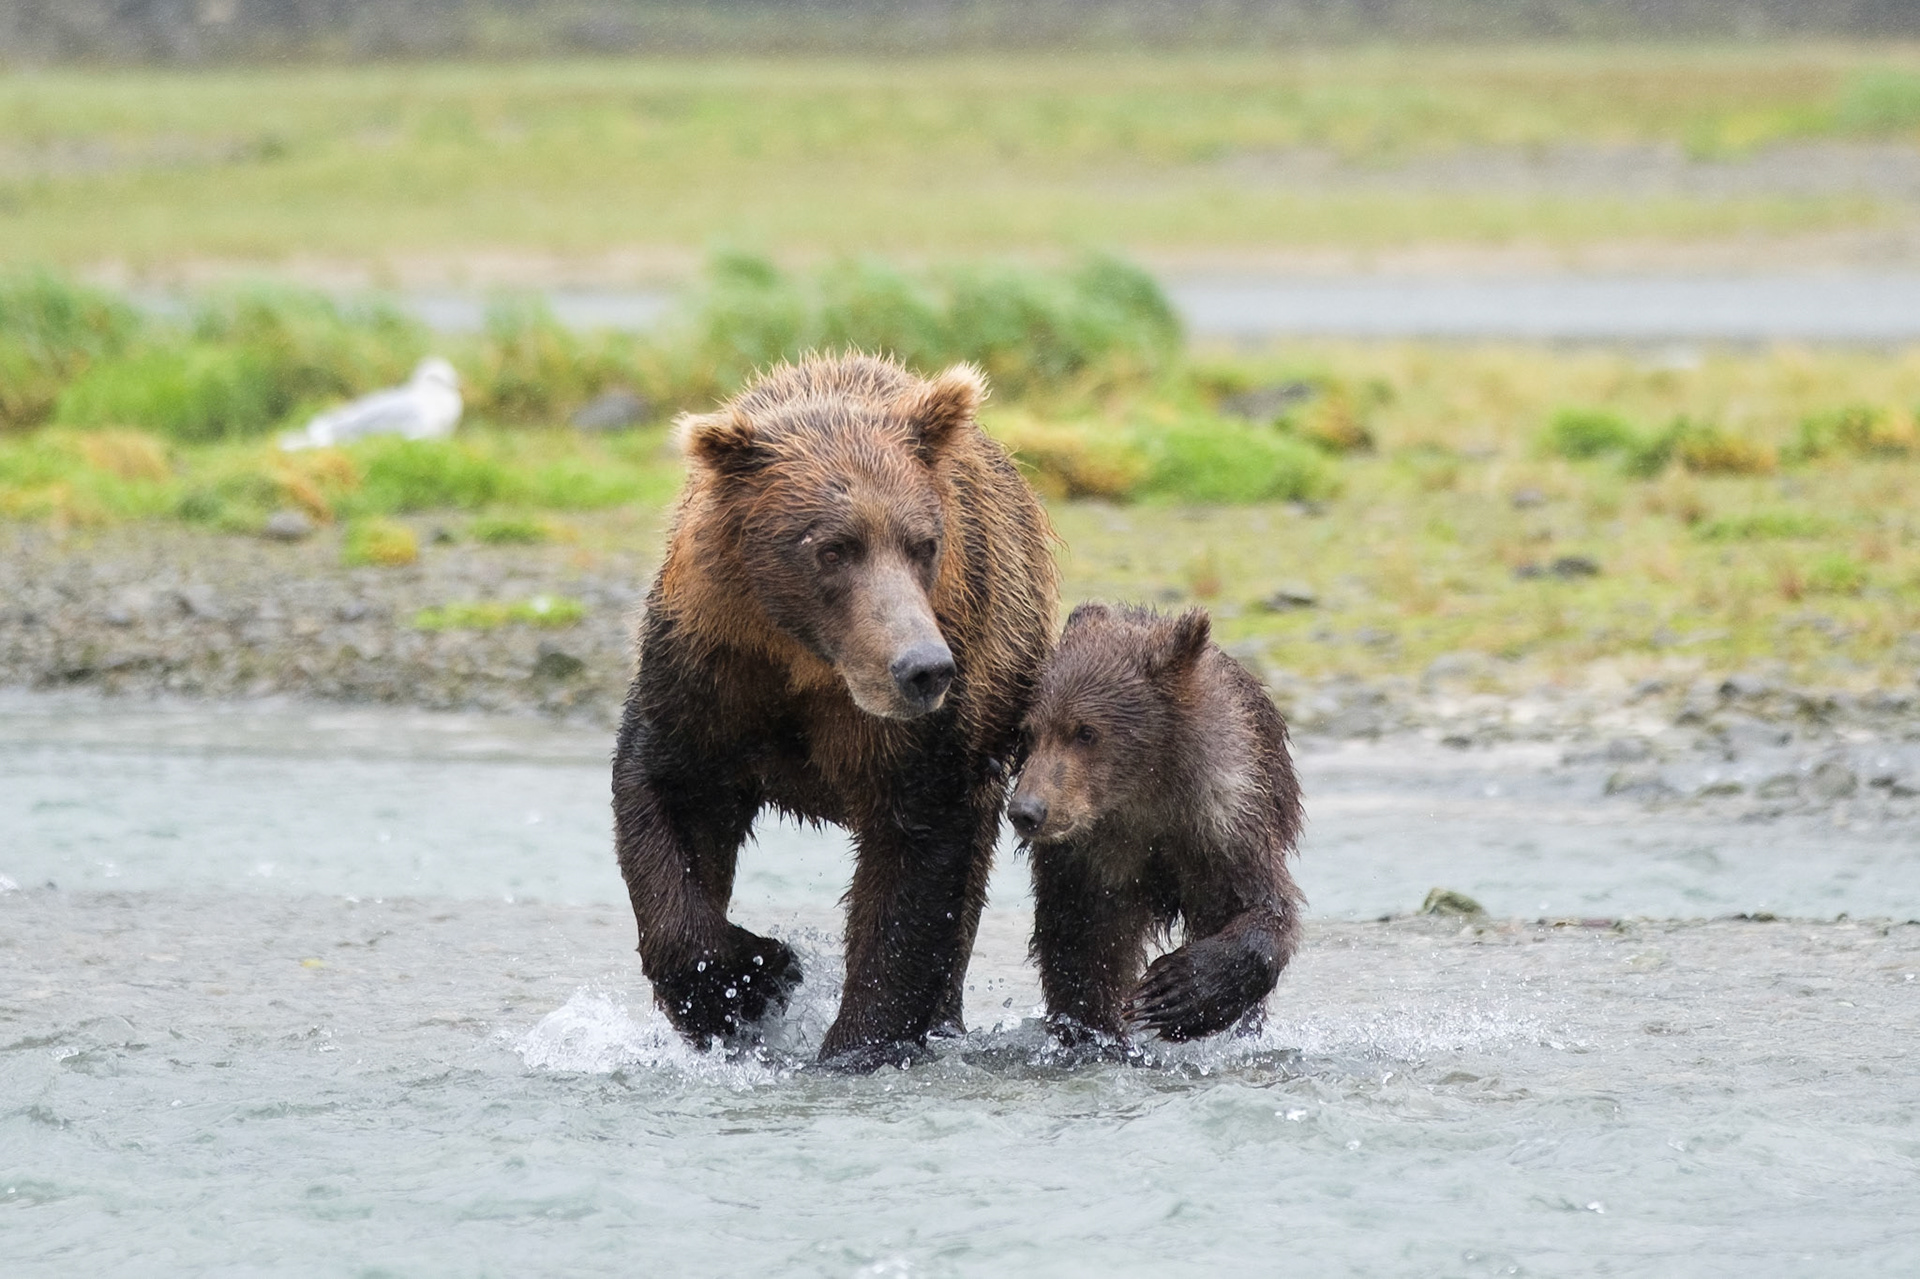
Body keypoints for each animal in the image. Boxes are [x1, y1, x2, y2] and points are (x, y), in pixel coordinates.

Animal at [613, 352, 1058, 1069]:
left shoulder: (923, 736)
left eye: (924, 542)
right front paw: (749, 982)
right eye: (831, 547)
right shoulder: (706, 675)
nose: (922, 667)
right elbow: (668, 800)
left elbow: (911, 870)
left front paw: (854, 1040)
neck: (811, 663)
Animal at [1005, 603, 1305, 1045]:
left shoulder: (1223, 828)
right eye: (1029, 733)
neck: (1144, 796)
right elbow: (1083, 945)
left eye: (1086, 732)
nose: (1027, 810)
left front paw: (1176, 991)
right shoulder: (1090, 861)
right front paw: (1097, 1030)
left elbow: (1260, 910)